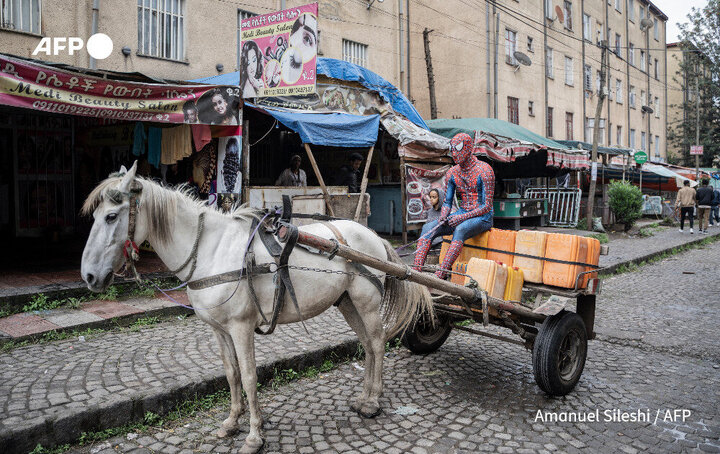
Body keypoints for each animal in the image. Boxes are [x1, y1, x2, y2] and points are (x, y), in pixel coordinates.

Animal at [80, 161, 428, 452]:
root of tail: (371, 234)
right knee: (367, 344)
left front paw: (254, 435)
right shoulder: (219, 330)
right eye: (96, 217)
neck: (210, 250)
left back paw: (372, 402)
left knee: (378, 342)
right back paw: (365, 397)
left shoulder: (241, 327)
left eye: (112, 216)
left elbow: (248, 377)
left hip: (366, 301)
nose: (89, 276)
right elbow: (231, 374)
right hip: (346, 303)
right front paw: (232, 423)